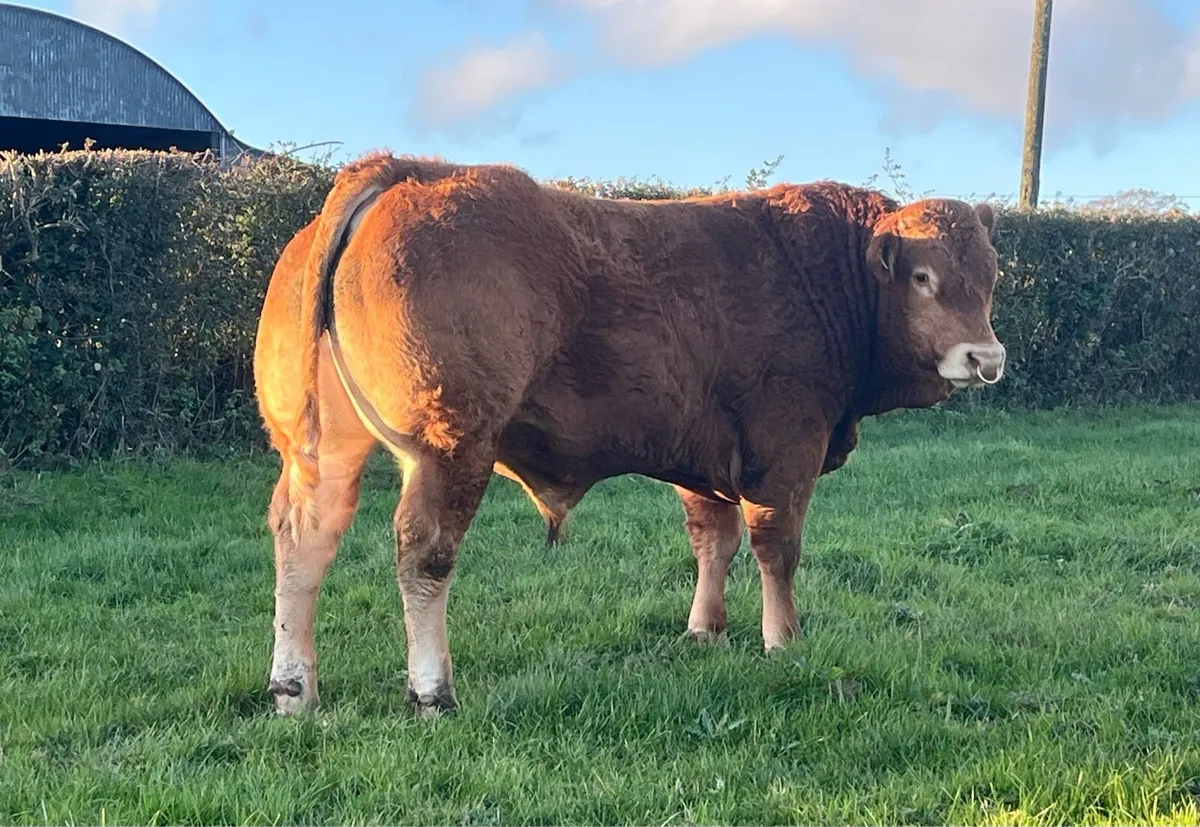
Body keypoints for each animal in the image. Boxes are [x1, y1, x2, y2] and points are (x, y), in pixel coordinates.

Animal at [252, 151, 1006, 717]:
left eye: (992, 276)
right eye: (922, 276)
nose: (986, 357)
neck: (822, 276)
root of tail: (402, 170)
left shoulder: (708, 457)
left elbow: (713, 540)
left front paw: (705, 631)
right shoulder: (786, 446)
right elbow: (776, 548)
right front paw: (783, 640)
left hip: (322, 447)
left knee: (304, 537)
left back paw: (294, 689)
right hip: (450, 446)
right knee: (424, 554)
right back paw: (432, 691)